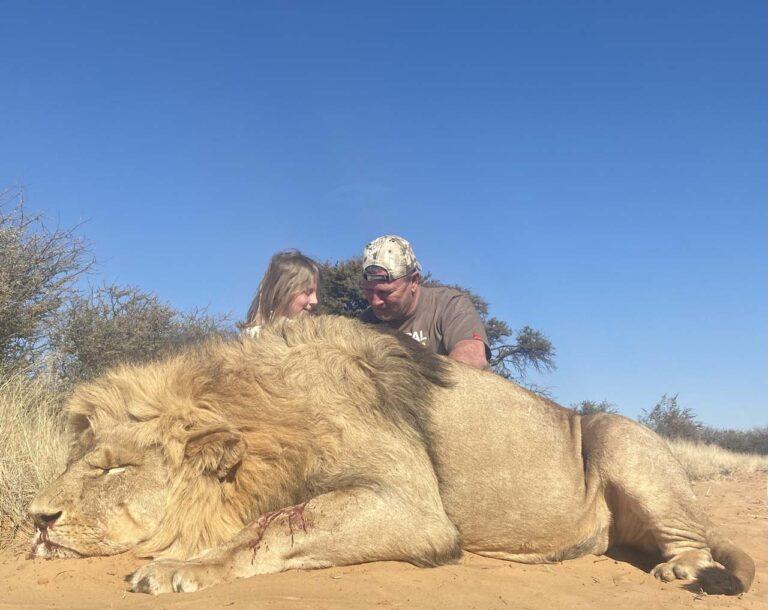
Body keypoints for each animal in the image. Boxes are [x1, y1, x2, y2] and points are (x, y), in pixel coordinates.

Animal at [29, 315, 754, 596]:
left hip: (620, 437)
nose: (35, 519)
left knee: (689, 537)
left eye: (112, 466)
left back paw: (684, 571)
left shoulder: (414, 510)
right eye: (80, 458)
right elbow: (276, 519)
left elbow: (276, 524)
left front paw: (178, 566)